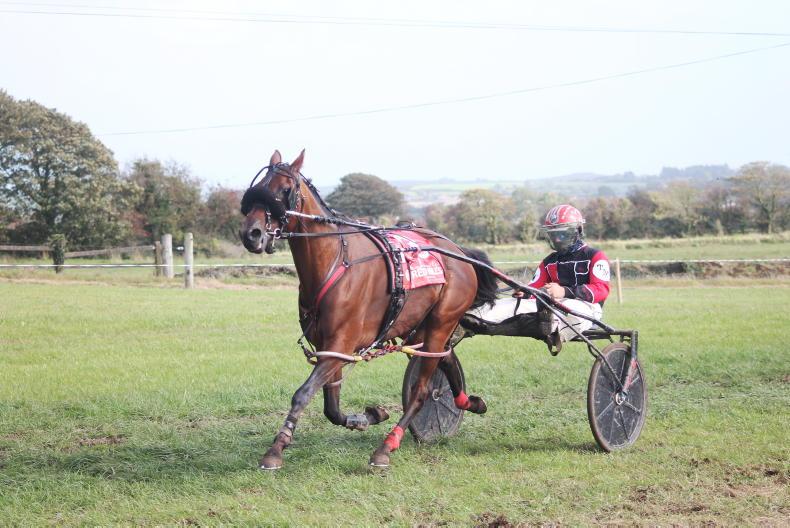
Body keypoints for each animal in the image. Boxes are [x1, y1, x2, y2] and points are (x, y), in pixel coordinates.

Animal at [239, 149, 498, 468]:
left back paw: (387, 447)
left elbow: (303, 394)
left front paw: (276, 449)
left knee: (423, 390)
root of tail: (459, 252)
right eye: (258, 186)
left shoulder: (341, 342)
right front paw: (368, 416)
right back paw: (468, 402)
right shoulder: (328, 348)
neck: (335, 262)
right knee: (446, 357)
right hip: (421, 326)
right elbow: (331, 408)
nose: (251, 233)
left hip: (442, 321)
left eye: (285, 190)